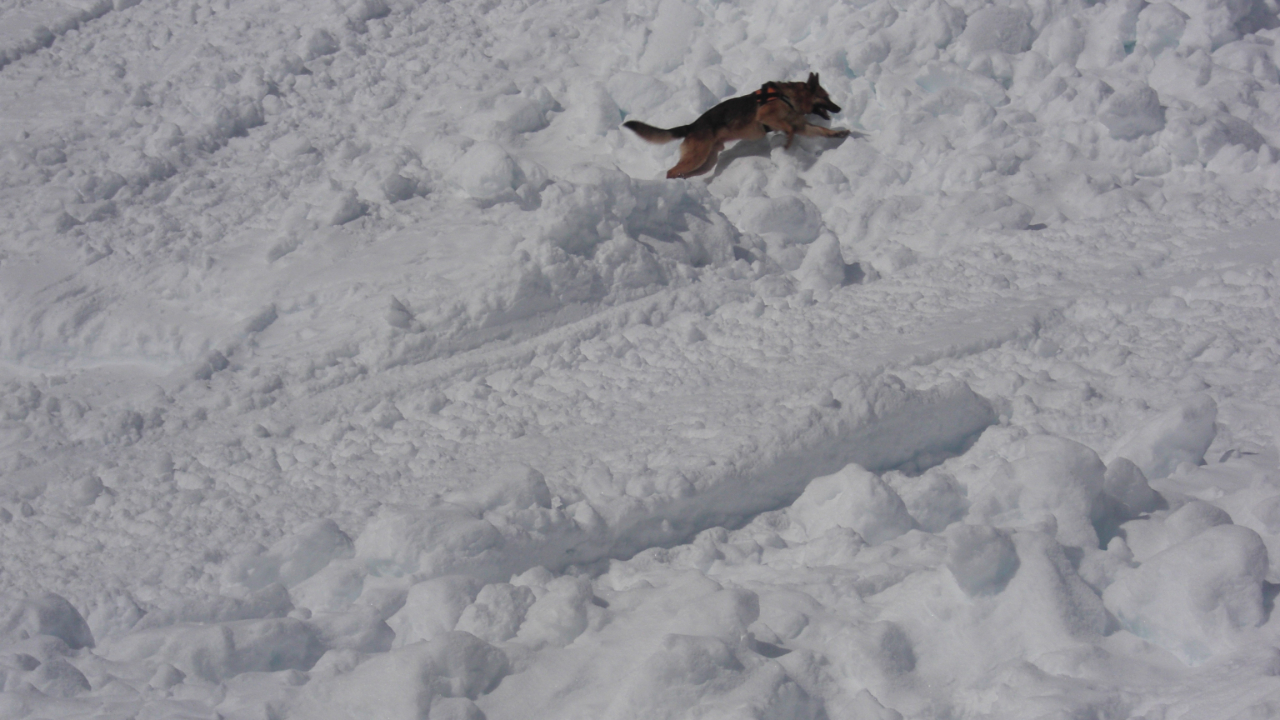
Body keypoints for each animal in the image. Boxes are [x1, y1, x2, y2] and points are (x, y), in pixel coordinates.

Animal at [622, 72, 849, 178]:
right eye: (825, 97)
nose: (839, 108)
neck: (789, 97)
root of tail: (691, 126)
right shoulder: (767, 117)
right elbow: (790, 129)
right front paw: (786, 143)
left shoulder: (803, 125)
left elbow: (821, 130)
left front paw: (839, 133)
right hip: (697, 157)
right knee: (671, 171)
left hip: (706, 162)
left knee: (683, 172)